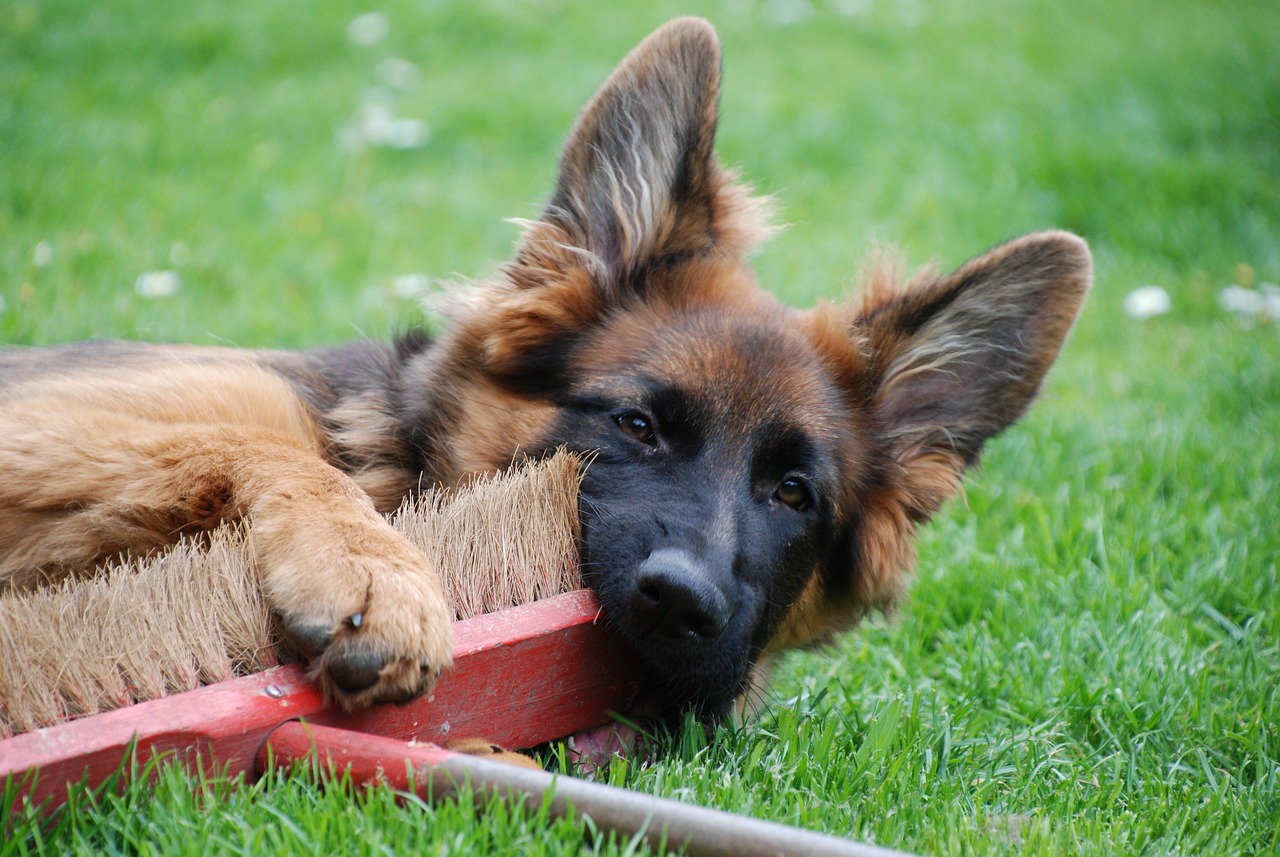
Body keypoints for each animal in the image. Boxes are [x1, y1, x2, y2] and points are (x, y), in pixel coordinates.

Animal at [0, 20, 1090, 726]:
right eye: (637, 425)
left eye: (793, 492)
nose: (681, 602)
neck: (387, 452)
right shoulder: (52, 420)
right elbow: (250, 444)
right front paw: (376, 570)